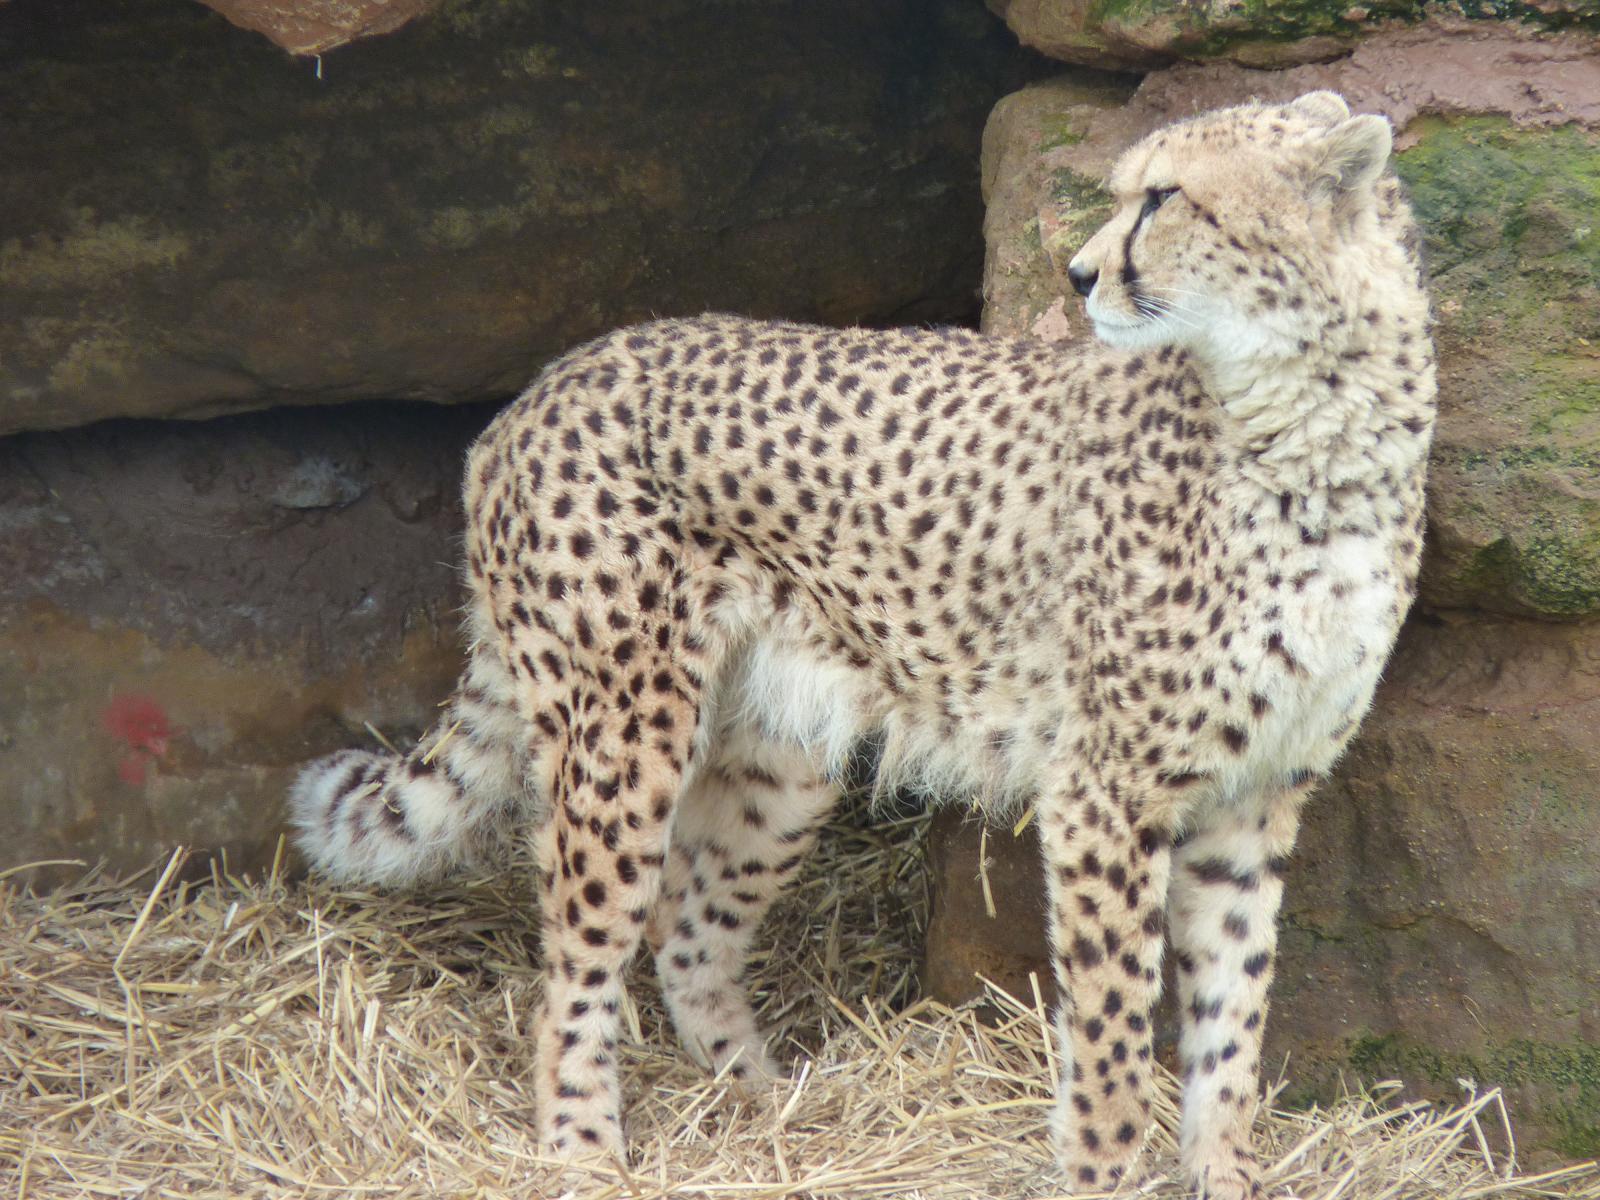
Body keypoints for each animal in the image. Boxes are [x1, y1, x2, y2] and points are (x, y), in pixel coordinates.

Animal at [290, 91, 1435, 1197]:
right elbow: (1110, 1039)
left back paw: (763, 1102)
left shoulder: (1258, 790)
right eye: (1127, 195)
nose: (1078, 274)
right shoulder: (1107, 791)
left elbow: (1232, 1019)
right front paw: (1107, 1175)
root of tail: (544, 384)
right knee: (580, 955)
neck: (1318, 426)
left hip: (783, 749)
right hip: (623, 734)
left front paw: (1223, 1170)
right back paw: (580, 1149)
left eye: (1165, 199)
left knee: (686, 928)